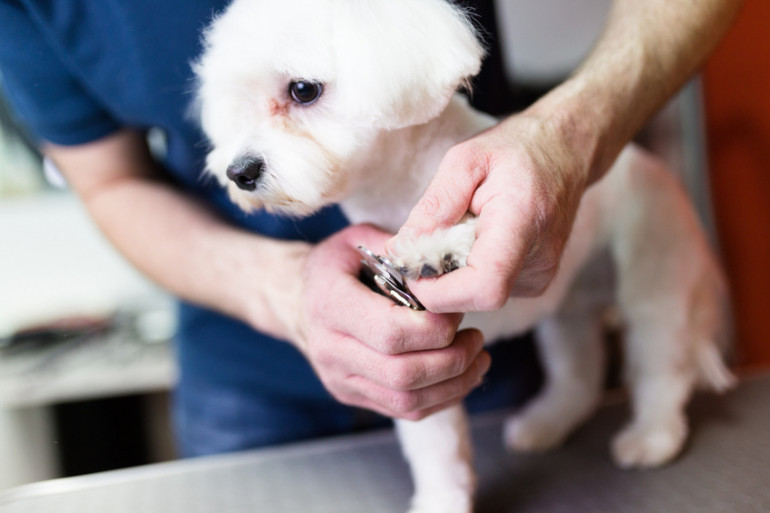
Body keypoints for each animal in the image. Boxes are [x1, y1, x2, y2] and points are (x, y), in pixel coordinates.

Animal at [194, 2, 732, 510]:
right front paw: (441, 502)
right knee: (578, 373)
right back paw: (548, 423)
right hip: (567, 313)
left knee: (663, 368)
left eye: (303, 90)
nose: (239, 171)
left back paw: (653, 438)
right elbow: (435, 450)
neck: (398, 189)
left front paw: (438, 249)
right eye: (237, 108)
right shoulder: (408, 366)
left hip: (657, 283)